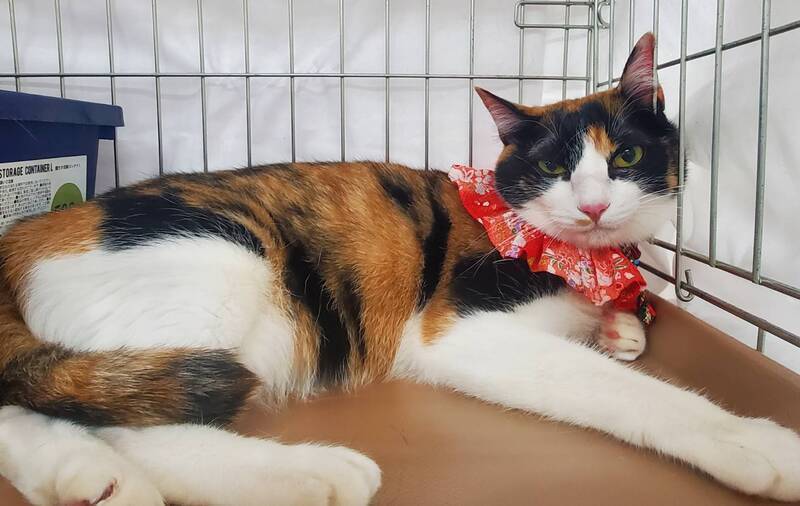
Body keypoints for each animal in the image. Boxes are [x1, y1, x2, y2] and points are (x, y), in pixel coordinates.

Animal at [0, 33, 797, 506]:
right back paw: (309, 475)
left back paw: (86, 478)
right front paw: (754, 443)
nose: (596, 204)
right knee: (134, 416)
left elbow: (620, 329)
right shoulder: (459, 330)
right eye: (553, 168)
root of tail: (25, 232)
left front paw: (620, 324)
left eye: (626, 156)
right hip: (222, 262)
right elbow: (633, 393)